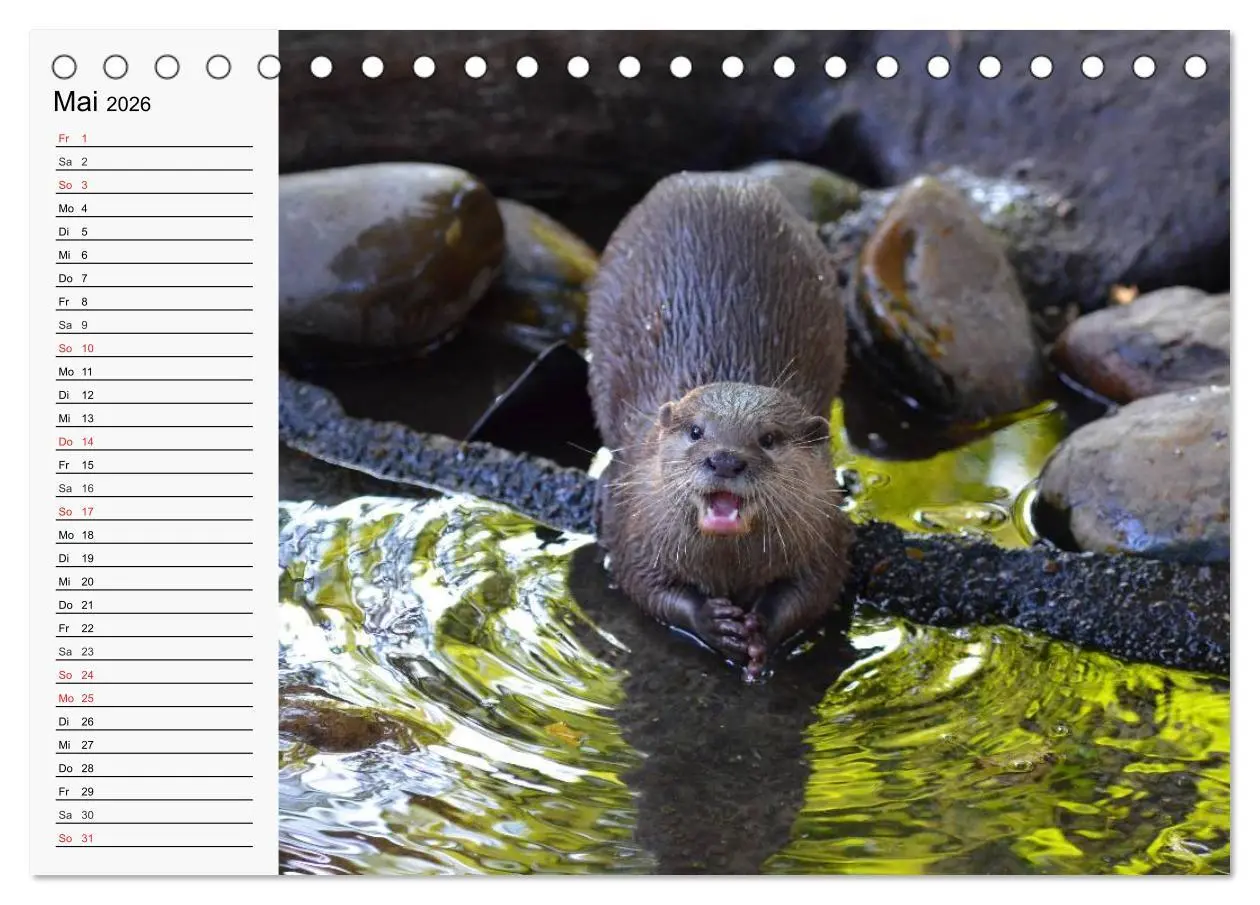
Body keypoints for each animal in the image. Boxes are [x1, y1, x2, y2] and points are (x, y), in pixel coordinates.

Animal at [586, 172, 853, 680]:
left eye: (768, 438)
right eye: (696, 431)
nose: (726, 459)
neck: (730, 569)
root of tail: (716, 178)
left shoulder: (826, 529)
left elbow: (816, 591)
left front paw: (761, 629)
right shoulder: (632, 522)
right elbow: (640, 583)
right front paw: (713, 623)